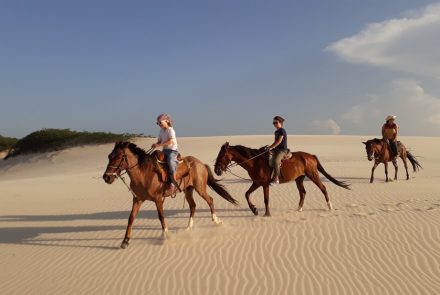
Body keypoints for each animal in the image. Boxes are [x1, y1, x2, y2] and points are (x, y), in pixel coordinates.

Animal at [102, 142, 237, 249]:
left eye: (119, 157)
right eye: (109, 157)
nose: (106, 177)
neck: (143, 174)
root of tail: (201, 164)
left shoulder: (158, 199)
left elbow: (161, 217)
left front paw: (166, 235)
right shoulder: (137, 199)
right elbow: (131, 218)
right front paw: (125, 241)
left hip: (200, 188)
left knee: (210, 200)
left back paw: (216, 221)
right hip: (188, 190)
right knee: (193, 206)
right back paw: (188, 228)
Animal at [213, 143, 350, 217]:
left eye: (222, 155)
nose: (216, 170)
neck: (254, 162)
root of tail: (311, 156)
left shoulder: (264, 184)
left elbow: (266, 199)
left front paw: (267, 214)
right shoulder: (257, 183)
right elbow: (246, 194)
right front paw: (254, 210)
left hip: (313, 175)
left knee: (323, 188)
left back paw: (330, 207)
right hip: (299, 179)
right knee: (303, 193)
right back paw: (299, 209)